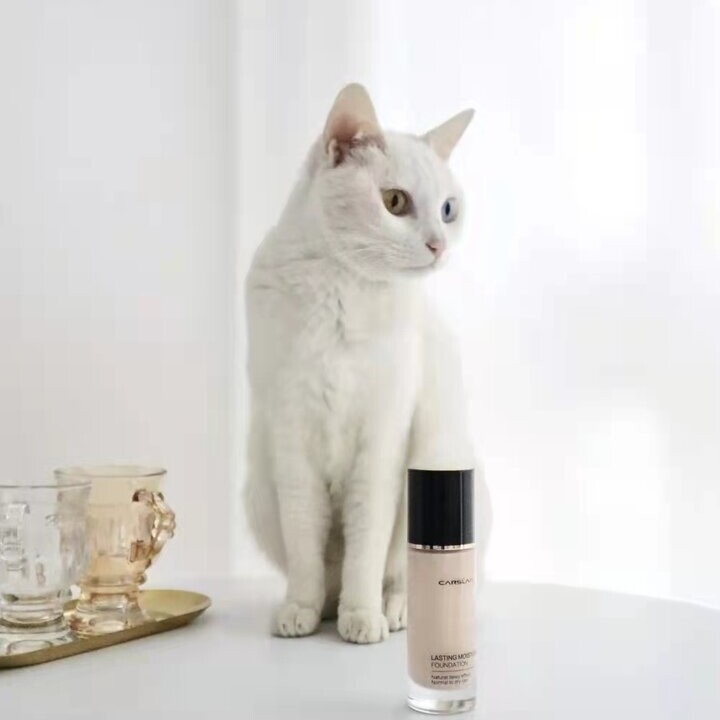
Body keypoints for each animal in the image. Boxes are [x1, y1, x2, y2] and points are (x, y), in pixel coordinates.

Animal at [244, 83, 481, 644]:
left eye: (448, 209)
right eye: (395, 202)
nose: (438, 246)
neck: (340, 289)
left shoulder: (381, 442)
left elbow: (366, 549)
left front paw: (362, 615)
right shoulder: (291, 438)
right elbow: (308, 546)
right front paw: (302, 609)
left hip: (438, 457)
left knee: (402, 574)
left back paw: (394, 610)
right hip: (259, 485)